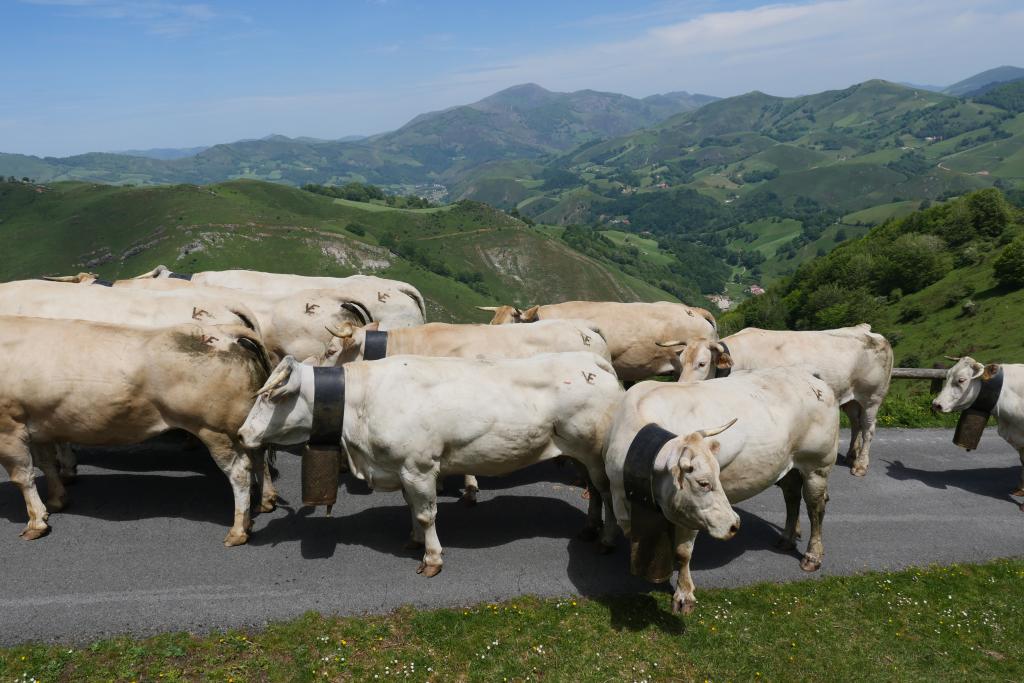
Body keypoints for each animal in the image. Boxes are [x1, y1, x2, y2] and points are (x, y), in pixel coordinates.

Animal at [239, 352, 622, 577]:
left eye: (271, 396)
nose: (242, 433)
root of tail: (590, 361)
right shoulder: (403, 469)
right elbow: (412, 509)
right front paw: (413, 540)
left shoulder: (419, 466)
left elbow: (426, 514)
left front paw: (432, 557)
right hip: (578, 453)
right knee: (594, 492)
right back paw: (589, 529)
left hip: (594, 450)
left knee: (605, 492)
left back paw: (605, 539)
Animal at [602, 370, 835, 618]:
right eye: (703, 482)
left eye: (717, 474)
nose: (735, 524)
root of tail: (811, 378)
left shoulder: (691, 513)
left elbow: (683, 552)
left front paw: (684, 595)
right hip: (789, 466)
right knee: (791, 496)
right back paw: (787, 539)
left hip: (818, 465)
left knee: (815, 508)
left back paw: (812, 556)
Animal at [667, 325, 892, 475]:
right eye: (681, 362)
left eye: (702, 363)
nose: (681, 386)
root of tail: (871, 332)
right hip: (852, 398)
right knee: (856, 423)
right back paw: (852, 454)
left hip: (873, 396)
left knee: (868, 428)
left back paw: (860, 465)